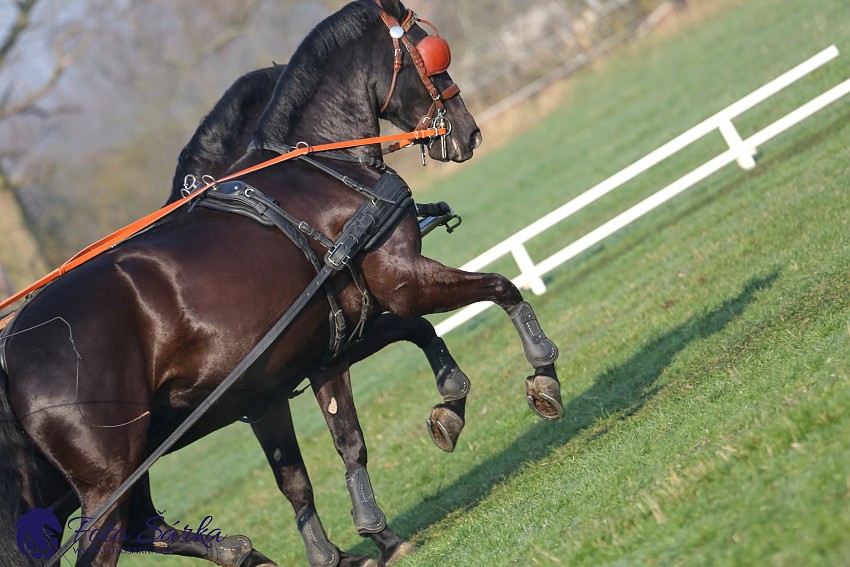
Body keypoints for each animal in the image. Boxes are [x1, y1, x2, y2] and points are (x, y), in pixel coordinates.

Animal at [1, 2, 564, 564]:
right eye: (431, 52)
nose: (468, 133)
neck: (323, 163)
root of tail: (12, 348)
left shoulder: (318, 354)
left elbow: (341, 441)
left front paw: (377, 522)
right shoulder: (400, 283)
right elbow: (499, 287)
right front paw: (542, 372)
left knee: (142, 523)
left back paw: (242, 552)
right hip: (108, 477)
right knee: (112, 537)